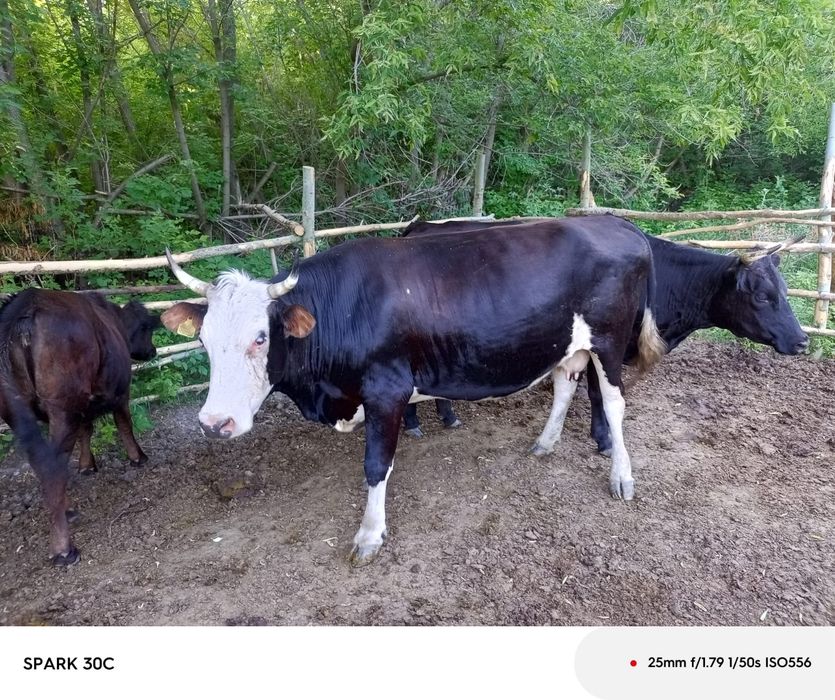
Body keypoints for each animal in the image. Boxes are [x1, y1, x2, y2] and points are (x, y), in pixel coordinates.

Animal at [0, 290, 159, 564]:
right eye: (146, 328)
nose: (153, 351)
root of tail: (25, 307)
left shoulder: (84, 404)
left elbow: (87, 430)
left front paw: (86, 465)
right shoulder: (121, 391)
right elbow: (124, 424)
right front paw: (138, 457)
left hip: (18, 410)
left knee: (42, 462)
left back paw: (67, 510)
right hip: (62, 407)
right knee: (52, 466)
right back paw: (63, 548)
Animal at [161, 216, 666, 567]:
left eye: (261, 338)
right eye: (203, 339)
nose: (215, 423)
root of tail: (614, 222)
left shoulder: (387, 390)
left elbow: (375, 466)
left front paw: (369, 536)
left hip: (609, 342)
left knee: (614, 403)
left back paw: (622, 476)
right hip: (565, 342)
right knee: (564, 383)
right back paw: (545, 443)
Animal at [398, 217, 809, 453]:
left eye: (785, 290)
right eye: (762, 296)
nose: (803, 340)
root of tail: (419, 227)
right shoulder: (605, 341)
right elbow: (597, 392)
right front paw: (604, 439)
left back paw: (446, 417)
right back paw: (415, 424)